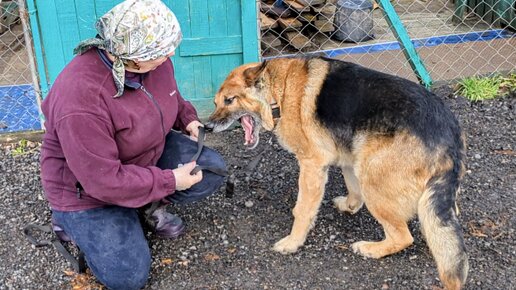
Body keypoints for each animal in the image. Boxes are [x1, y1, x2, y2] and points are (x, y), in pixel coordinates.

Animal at [205, 57, 468, 290]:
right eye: (216, 102)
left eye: (229, 100)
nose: (207, 127)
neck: (279, 93)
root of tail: (449, 136)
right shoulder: (348, 157)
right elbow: (351, 187)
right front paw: (350, 206)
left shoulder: (311, 166)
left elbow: (303, 209)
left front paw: (293, 242)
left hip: (371, 178)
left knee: (403, 237)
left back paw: (370, 249)